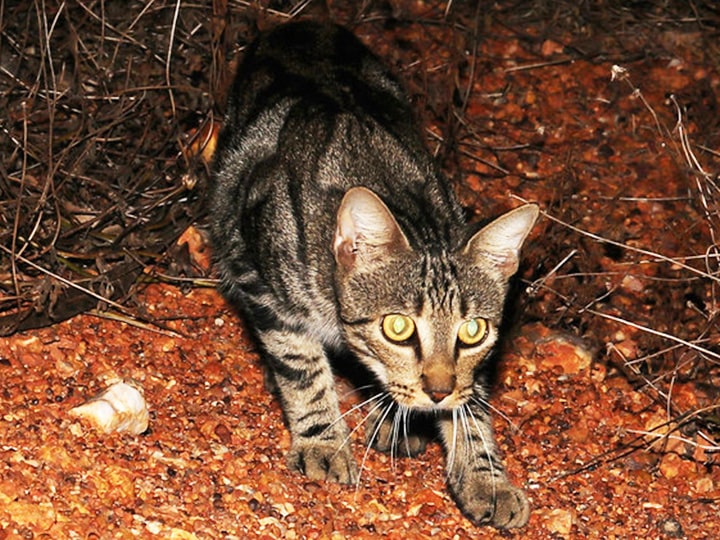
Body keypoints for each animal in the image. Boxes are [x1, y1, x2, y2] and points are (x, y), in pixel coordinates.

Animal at [207, 21, 536, 528]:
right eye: (397, 327)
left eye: (473, 331)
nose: (437, 392)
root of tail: (302, 25)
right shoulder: (259, 281)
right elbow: (302, 365)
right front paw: (323, 441)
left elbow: (471, 401)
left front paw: (486, 477)